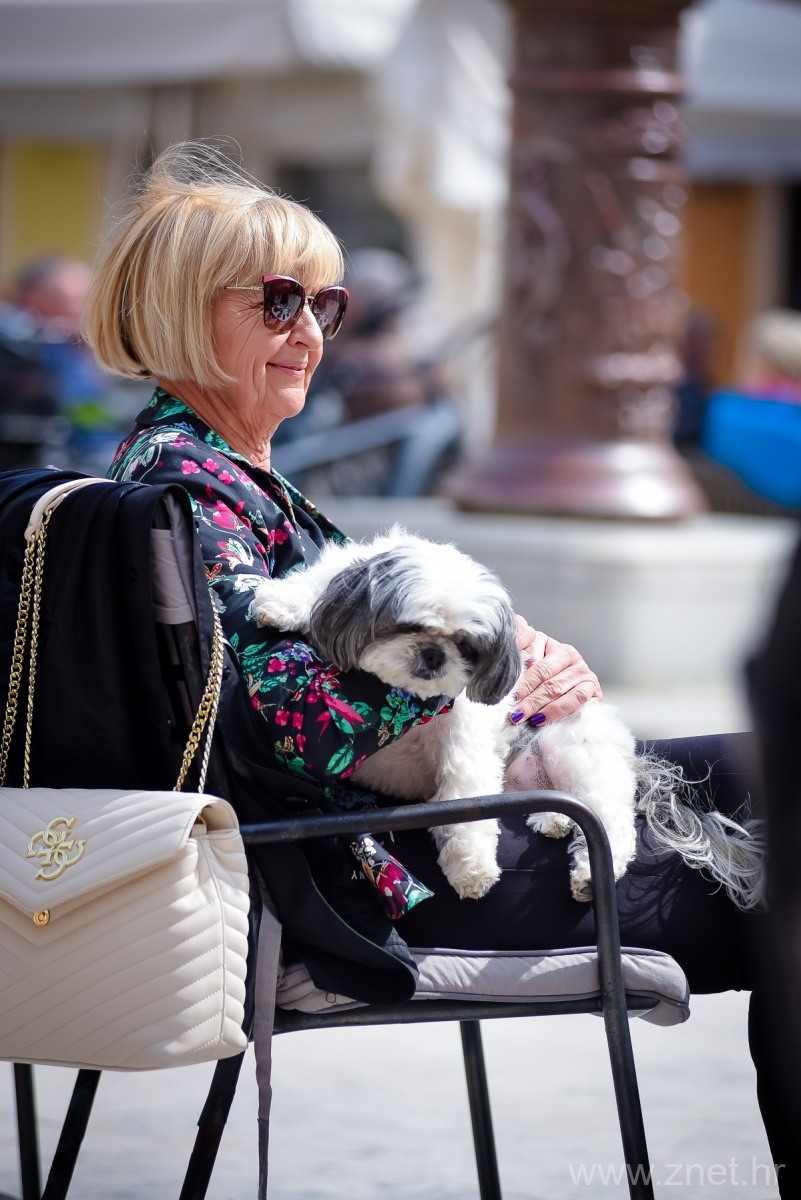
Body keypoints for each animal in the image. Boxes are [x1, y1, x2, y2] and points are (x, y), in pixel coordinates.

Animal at [252, 527, 640, 903]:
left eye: (467, 645)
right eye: (409, 626)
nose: (434, 654)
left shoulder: (463, 735)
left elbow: (467, 797)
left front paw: (471, 868)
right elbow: (317, 581)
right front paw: (282, 603)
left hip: (571, 750)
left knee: (611, 817)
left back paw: (589, 874)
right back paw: (553, 818)